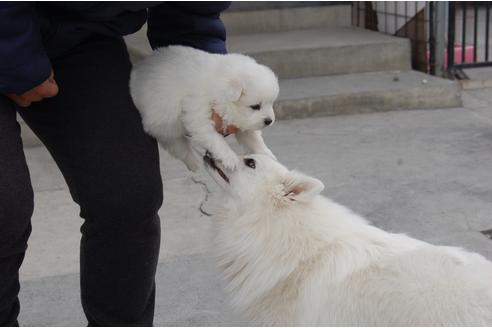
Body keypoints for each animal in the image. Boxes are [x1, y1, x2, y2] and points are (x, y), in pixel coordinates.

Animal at [129, 45, 278, 172]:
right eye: (255, 106)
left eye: (271, 103)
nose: (269, 121)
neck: (220, 88)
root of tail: (138, 70)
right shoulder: (198, 115)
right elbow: (215, 139)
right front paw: (230, 158)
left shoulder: (242, 122)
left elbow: (253, 138)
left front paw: (267, 154)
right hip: (164, 125)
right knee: (179, 146)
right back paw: (195, 162)